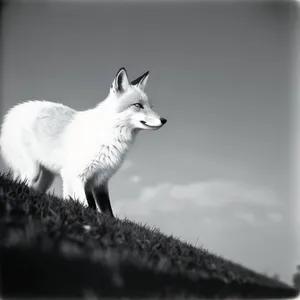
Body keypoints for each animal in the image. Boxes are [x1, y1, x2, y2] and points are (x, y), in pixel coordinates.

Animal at [0, 68, 166, 218]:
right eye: (138, 105)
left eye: (150, 107)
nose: (164, 120)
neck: (108, 137)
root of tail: (14, 110)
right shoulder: (75, 175)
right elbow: (85, 206)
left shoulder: (99, 181)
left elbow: (106, 212)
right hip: (32, 172)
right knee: (21, 183)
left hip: (47, 177)